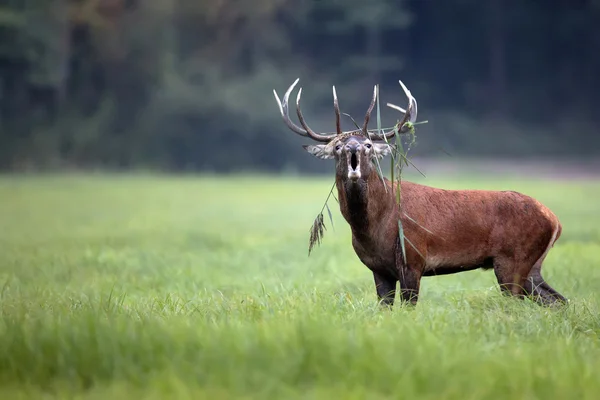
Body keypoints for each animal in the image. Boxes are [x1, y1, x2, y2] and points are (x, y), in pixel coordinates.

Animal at [272, 79, 568, 310]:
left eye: (368, 145)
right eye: (337, 146)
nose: (353, 148)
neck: (374, 226)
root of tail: (555, 220)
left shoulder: (414, 258)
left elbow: (409, 308)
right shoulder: (379, 269)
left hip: (513, 260)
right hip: (531, 266)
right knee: (558, 301)